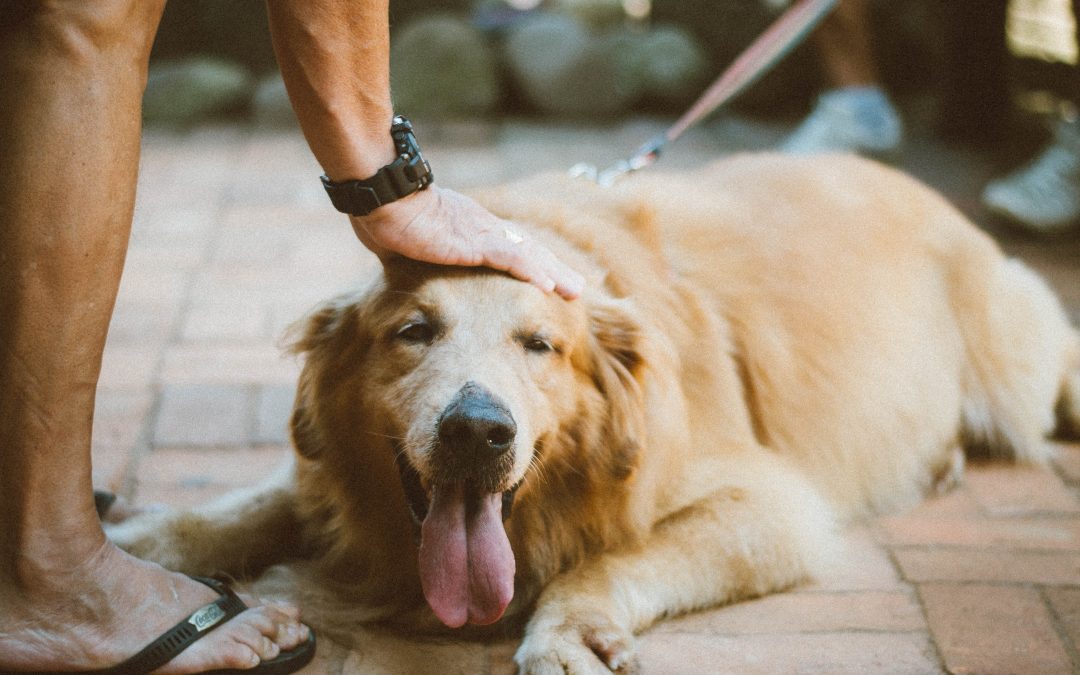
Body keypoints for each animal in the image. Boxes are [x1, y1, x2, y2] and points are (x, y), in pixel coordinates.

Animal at [111, 155, 1080, 669]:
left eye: (541, 344)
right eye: (414, 331)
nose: (477, 431)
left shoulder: (772, 504)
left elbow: (616, 556)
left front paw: (571, 626)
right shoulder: (334, 476)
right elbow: (249, 505)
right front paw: (143, 542)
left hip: (1019, 363)